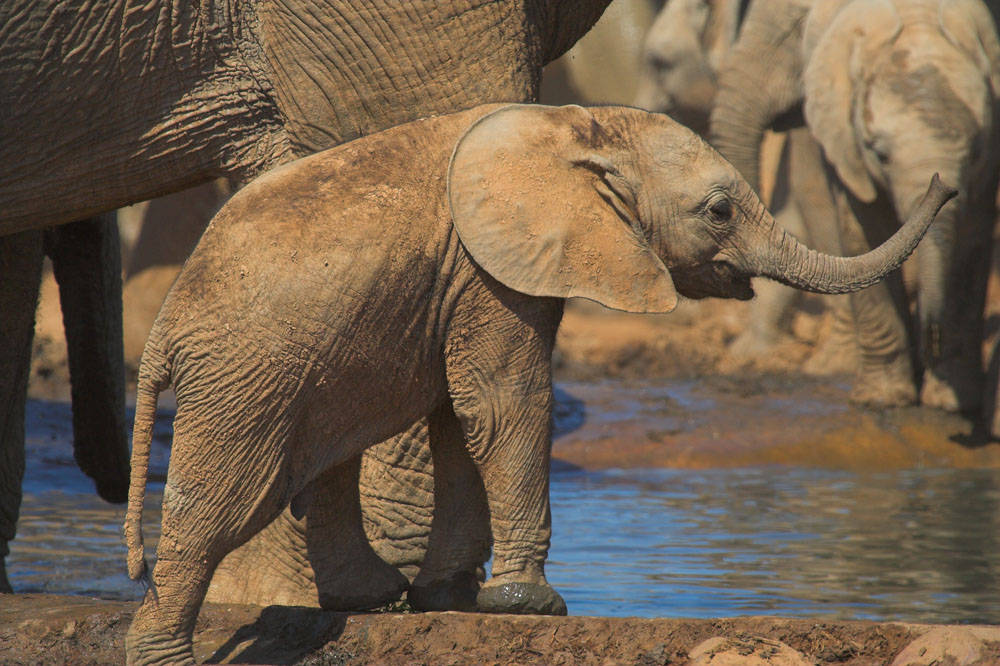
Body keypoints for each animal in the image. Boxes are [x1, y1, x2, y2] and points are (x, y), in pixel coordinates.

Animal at [121, 104, 948, 664]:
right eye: (718, 210)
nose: (945, 185)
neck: (582, 126)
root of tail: (161, 329)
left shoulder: (475, 274)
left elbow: (461, 417)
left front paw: (452, 599)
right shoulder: (491, 269)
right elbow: (500, 404)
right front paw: (533, 605)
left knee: (321, 465)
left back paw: (375, 599)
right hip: (241, 377)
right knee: (221, 503)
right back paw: (167, 651)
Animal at [712, 0, 1000, 410]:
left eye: (974, 151)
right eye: (879, 154)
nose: (942, 186)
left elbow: (972, 238)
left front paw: (949, 403)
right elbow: (863, 225)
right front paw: (884, 400)